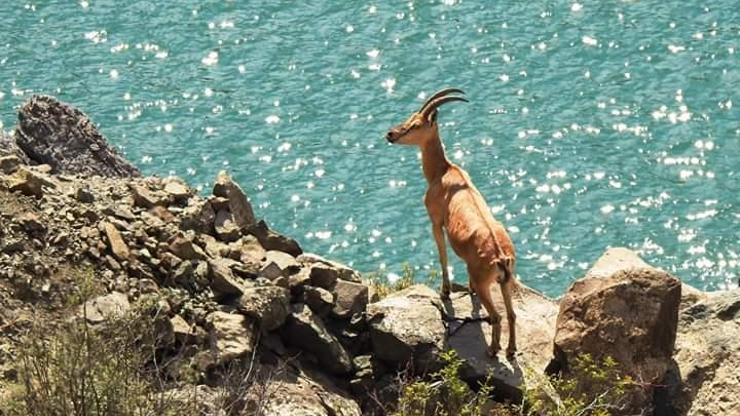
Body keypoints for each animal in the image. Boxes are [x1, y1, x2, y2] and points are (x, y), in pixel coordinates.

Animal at [384, 88, 516, 358]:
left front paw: (445, 292)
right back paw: (510, 350)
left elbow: (442, 255)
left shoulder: (436, 221)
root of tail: (501, 258)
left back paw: (492, 350)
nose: (390, 134)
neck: (442, 172)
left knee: (497, 316)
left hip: (486, 281)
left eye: (415, 125)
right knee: (512, 314)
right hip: (506, 282)